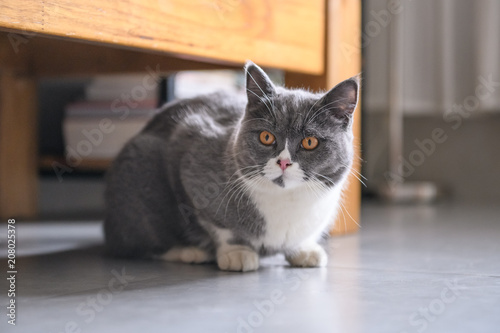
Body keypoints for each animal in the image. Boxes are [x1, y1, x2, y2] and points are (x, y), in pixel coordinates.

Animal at [103, 61, 358, 272]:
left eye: (310, 142)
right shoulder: (192, 162)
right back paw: (190, 251)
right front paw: (238, 252)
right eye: (266, 137)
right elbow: (220, 226)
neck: (287, 200)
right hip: (140, 172)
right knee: (138, 243)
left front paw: (304, 249)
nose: (284, 162)